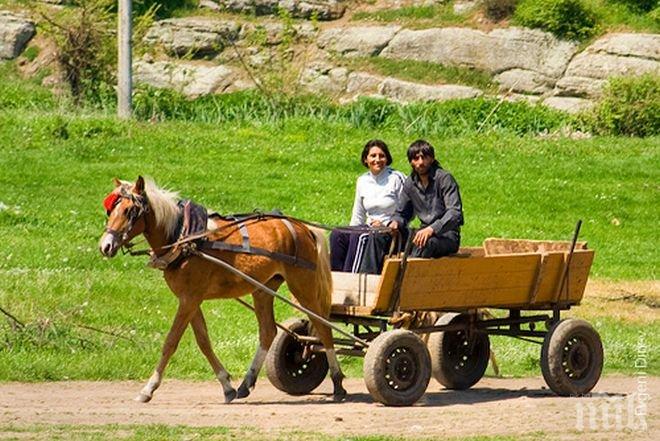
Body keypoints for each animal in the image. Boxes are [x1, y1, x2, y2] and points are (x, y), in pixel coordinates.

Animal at [99, 176, 346, 402]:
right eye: (111, 210)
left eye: (130, 211)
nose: (105, 246)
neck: (184, 237)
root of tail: (303, 227)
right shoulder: (190, 299)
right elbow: (203, 341)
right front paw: (227, 385)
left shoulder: (189, 299)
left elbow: (171, 341)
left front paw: (148, 388)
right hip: (263, 289)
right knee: (268, 332)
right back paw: (246, 383)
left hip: (303, 285)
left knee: (323, 329)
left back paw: (337, 383)